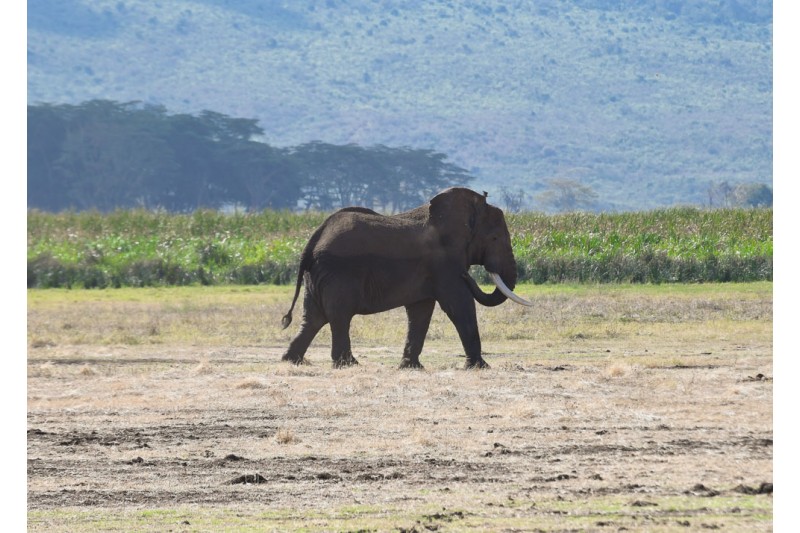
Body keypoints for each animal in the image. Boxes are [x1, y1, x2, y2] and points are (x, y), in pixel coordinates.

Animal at [282, 188, 532, 370]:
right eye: (495, 238)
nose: (466, 274)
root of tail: (313, 239)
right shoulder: (445, 264)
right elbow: (460, 304)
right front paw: (480, 367)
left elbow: (421, 311)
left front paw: (411, 367)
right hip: (339, 273)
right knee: (339, 316)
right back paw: (348, 364)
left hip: (317, 276)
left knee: (314, 318)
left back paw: (293, 361)